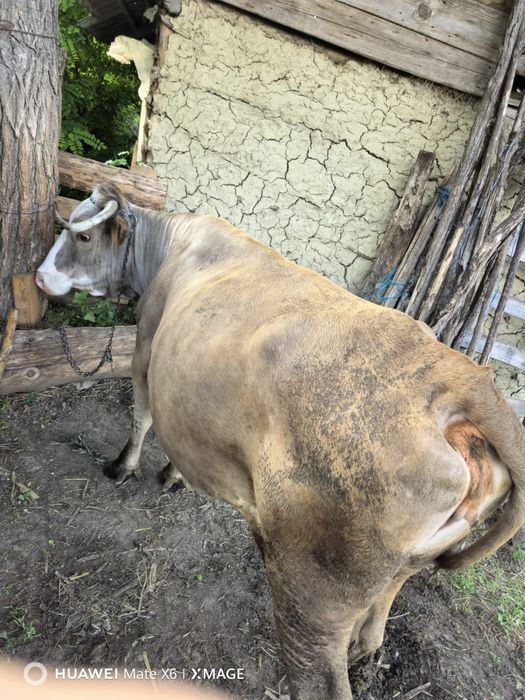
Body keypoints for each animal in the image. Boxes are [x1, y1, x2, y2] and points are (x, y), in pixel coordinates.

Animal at [36, 183, 525, 700]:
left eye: (83, 236)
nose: (41, 277)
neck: (172, 246)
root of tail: (461, 377)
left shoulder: (146, 348)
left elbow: (143, 417)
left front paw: (124, 468)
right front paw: (174, 475)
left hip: (311, 589)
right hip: (401, 568)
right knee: (374, 627)